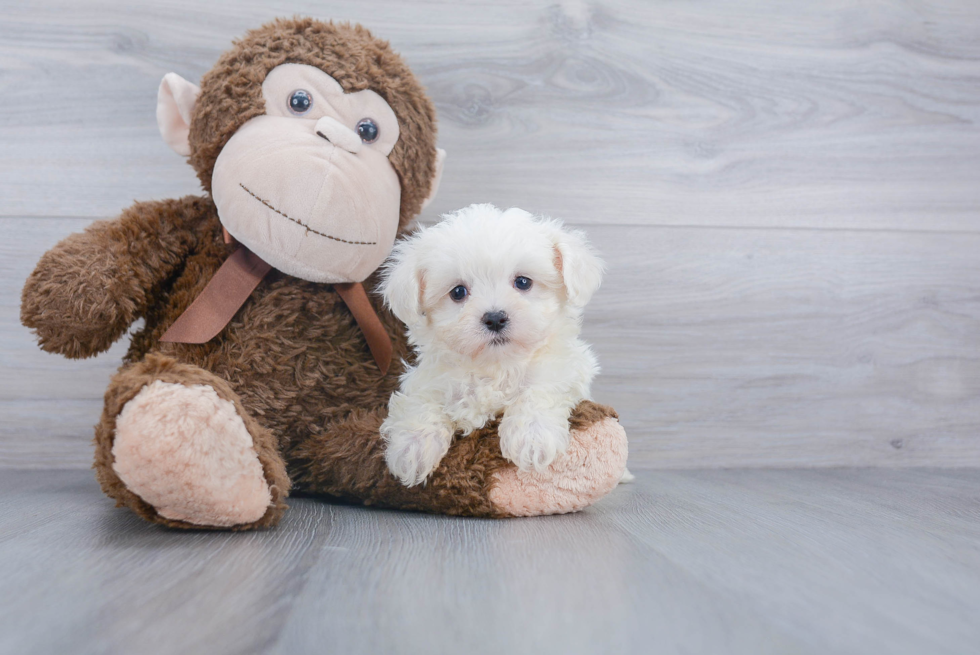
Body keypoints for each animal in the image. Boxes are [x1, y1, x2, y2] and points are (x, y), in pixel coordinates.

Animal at [380, 205, 604, 486]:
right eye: (457, 292)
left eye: (523, 282)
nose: (495, 318)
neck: (496, 365)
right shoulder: (428, 382)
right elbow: (420, 403)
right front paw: (412, 448)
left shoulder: (564, 371)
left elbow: (539, 389)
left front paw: (533, 437)